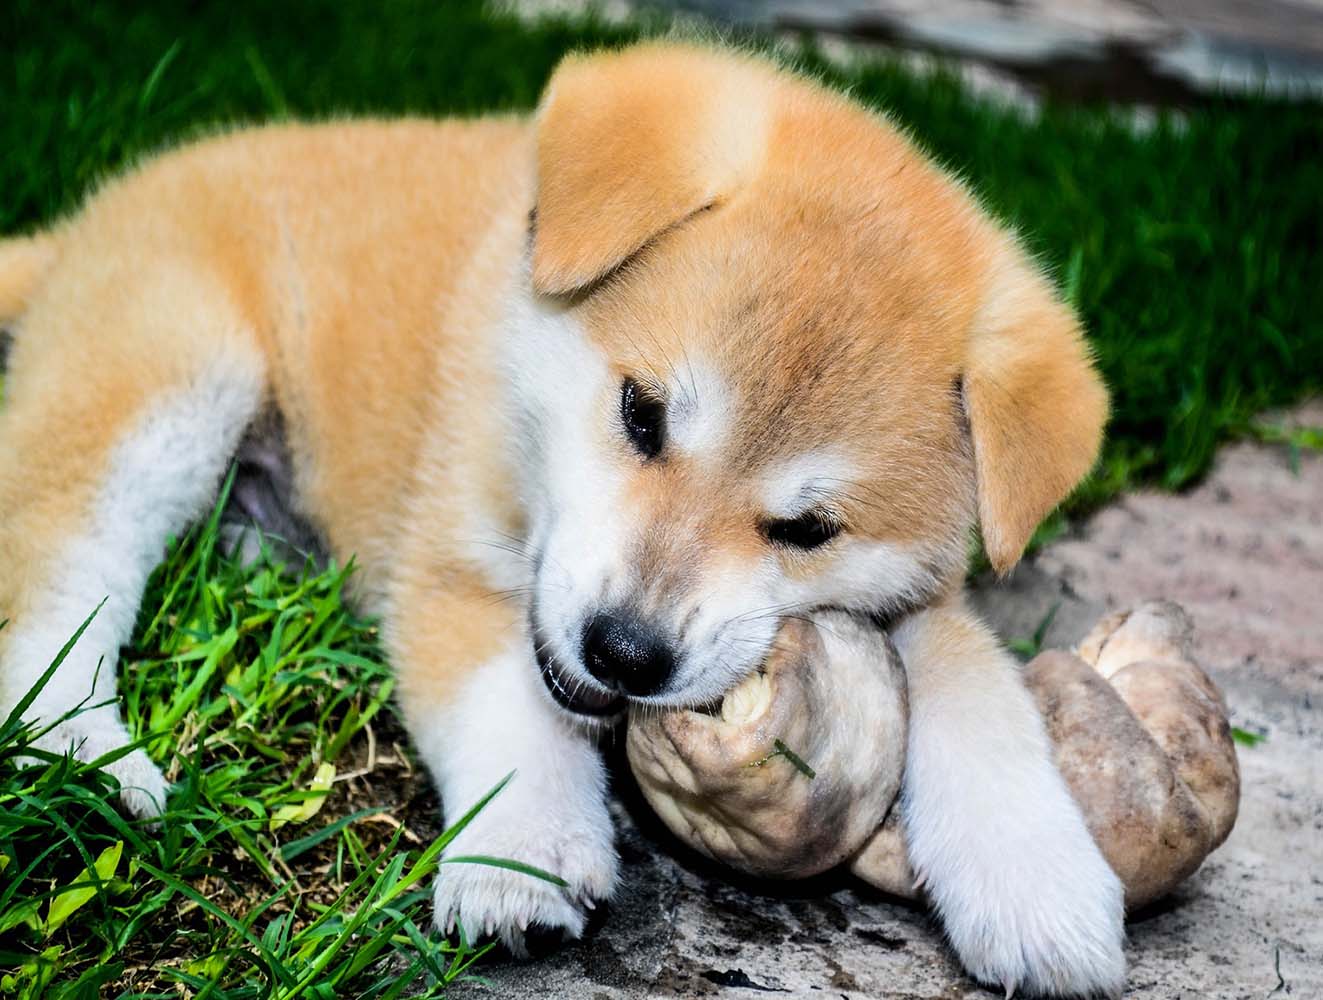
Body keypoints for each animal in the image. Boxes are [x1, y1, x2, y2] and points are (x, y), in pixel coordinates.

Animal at [0, 43, 1122, 996]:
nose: (625, 652)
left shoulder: (926, 597)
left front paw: (1038, 878)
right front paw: (525, 849)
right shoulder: (448, 562)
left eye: (810, 531)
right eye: (642, 412)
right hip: (168, 376)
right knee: (54, 583)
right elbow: (508, 703)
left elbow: (979, 688)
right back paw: (87, 758)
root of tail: (86, 226)